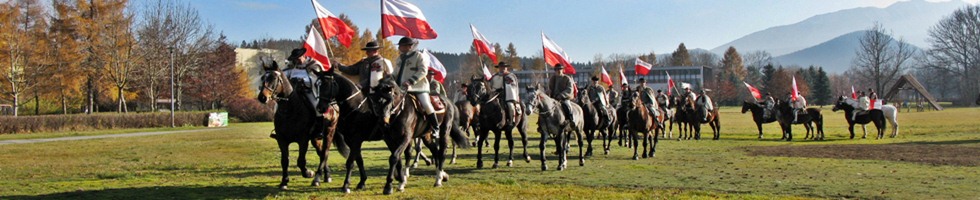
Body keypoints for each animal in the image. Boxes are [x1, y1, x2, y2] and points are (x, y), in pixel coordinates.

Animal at [314, 71, 468, 195]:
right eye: (318, 86)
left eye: (327, 86)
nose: (320, 108)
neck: (356, 106)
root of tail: (447, 101)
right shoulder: (353, 140)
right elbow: (360, 160)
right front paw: (363, 182)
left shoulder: (357, 139)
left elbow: (351, 162)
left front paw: (346, 185)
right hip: (425, 135)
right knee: (434, 151)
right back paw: (441, 175)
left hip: (443, 132)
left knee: (441, 152)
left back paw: (438, 179)